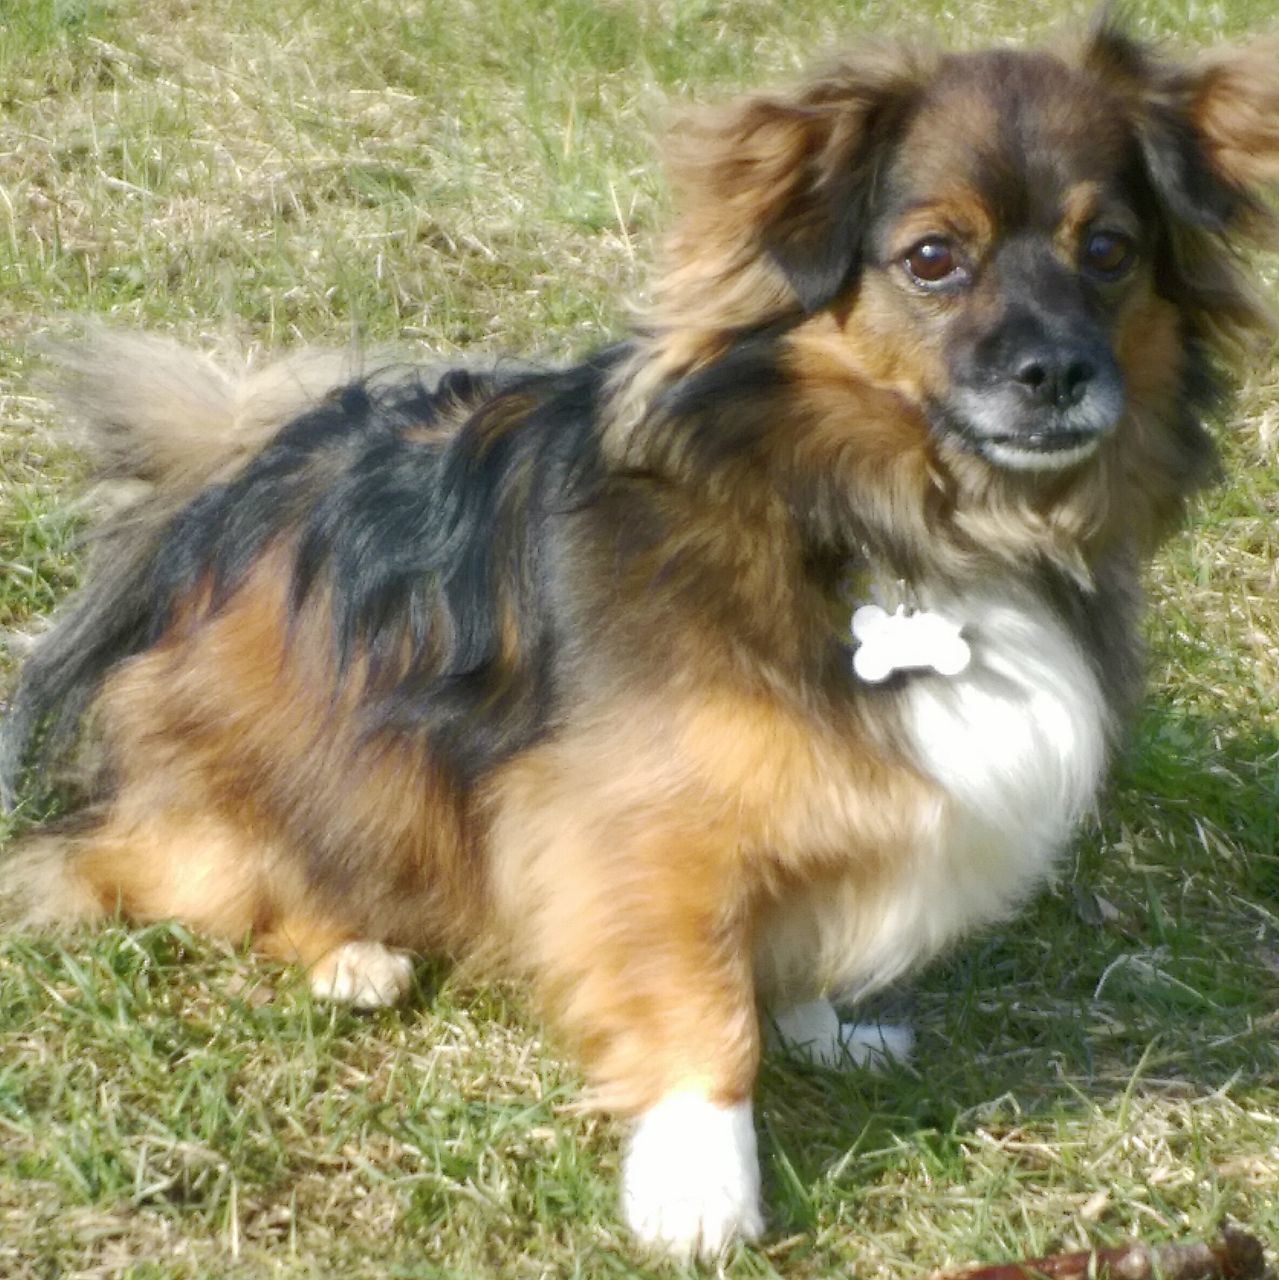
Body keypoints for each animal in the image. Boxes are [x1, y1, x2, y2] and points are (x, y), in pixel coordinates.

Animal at [0, 20, 1275, 1259]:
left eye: (1106, 250)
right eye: (930, 259)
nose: (1056, 372)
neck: (871, 513)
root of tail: (226, 500)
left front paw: (820, 1024)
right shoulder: (634, 821)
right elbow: (700, 1005)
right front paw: (699, 1188)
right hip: (298, 787)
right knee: (192, 869)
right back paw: (349, 952)